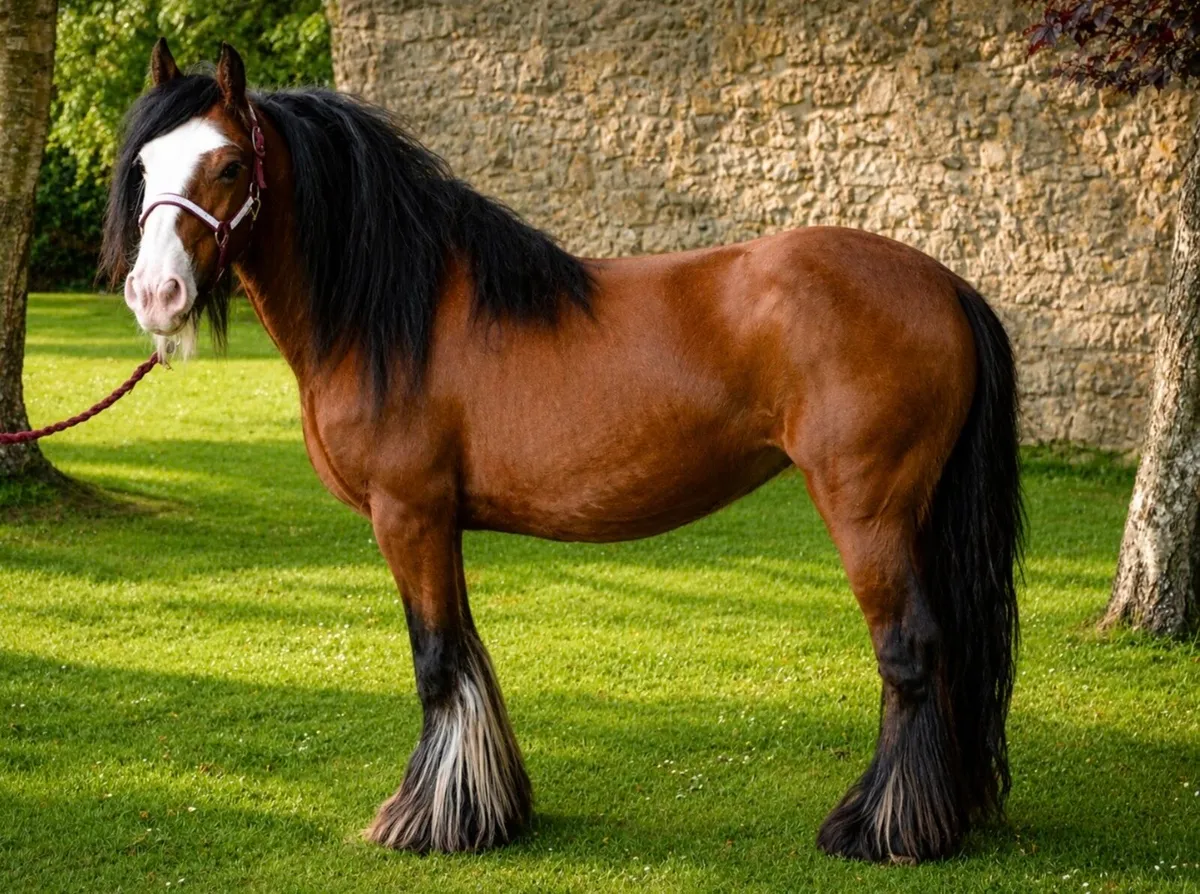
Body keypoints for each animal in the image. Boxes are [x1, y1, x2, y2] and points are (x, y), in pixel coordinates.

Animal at [102, 39, 1022, 864]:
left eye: (227, 166)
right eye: (145, 165)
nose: (156, 294)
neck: (393, 312)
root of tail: (944, 283)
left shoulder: (408, 515)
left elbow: (437, 662)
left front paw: (427, 823)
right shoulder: (440, 525)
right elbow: (467, 655)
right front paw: (489, 811)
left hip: (867, 508)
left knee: (910, 651)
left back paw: (881, 832)